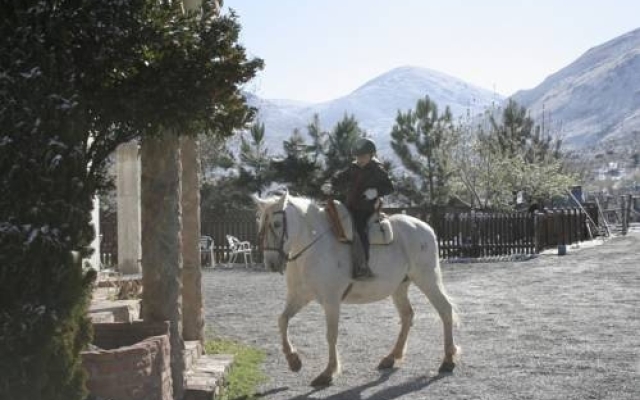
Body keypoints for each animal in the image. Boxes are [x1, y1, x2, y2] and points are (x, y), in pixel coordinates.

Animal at [252, 192, 458, 386]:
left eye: (277, 223)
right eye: (260, 223)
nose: (271, 263)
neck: (313, 247)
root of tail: (425, 227)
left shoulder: (331, 301)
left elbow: (331, 335)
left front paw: (328, 373)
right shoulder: (299, 297)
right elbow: (282, 320)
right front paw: (293, 360)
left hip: (427, 279)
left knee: (445, 310)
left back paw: (448, 360)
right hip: (400, 287)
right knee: (407, 316)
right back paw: (391, 357)